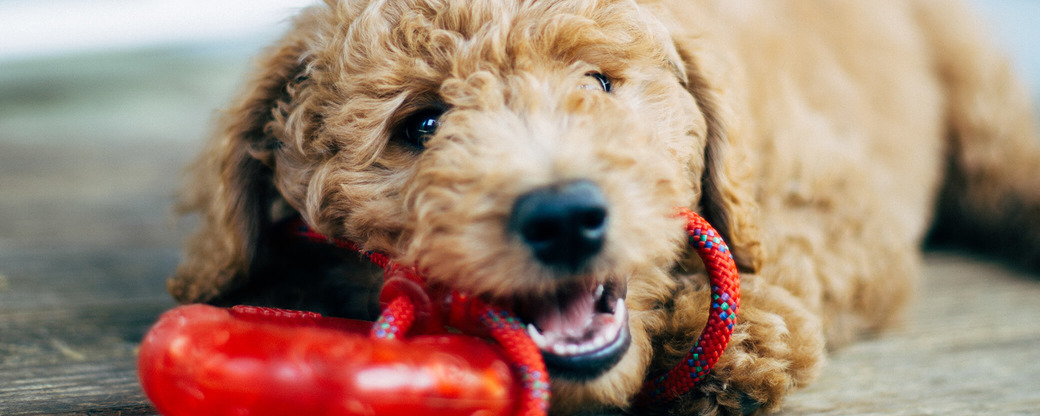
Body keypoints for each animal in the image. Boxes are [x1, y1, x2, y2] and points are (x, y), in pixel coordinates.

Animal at [168, 1, 1040, 413]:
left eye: (598, 82)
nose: (563, 217)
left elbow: (779, 248)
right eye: (421, 125)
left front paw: (733, 337)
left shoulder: (843, 201)